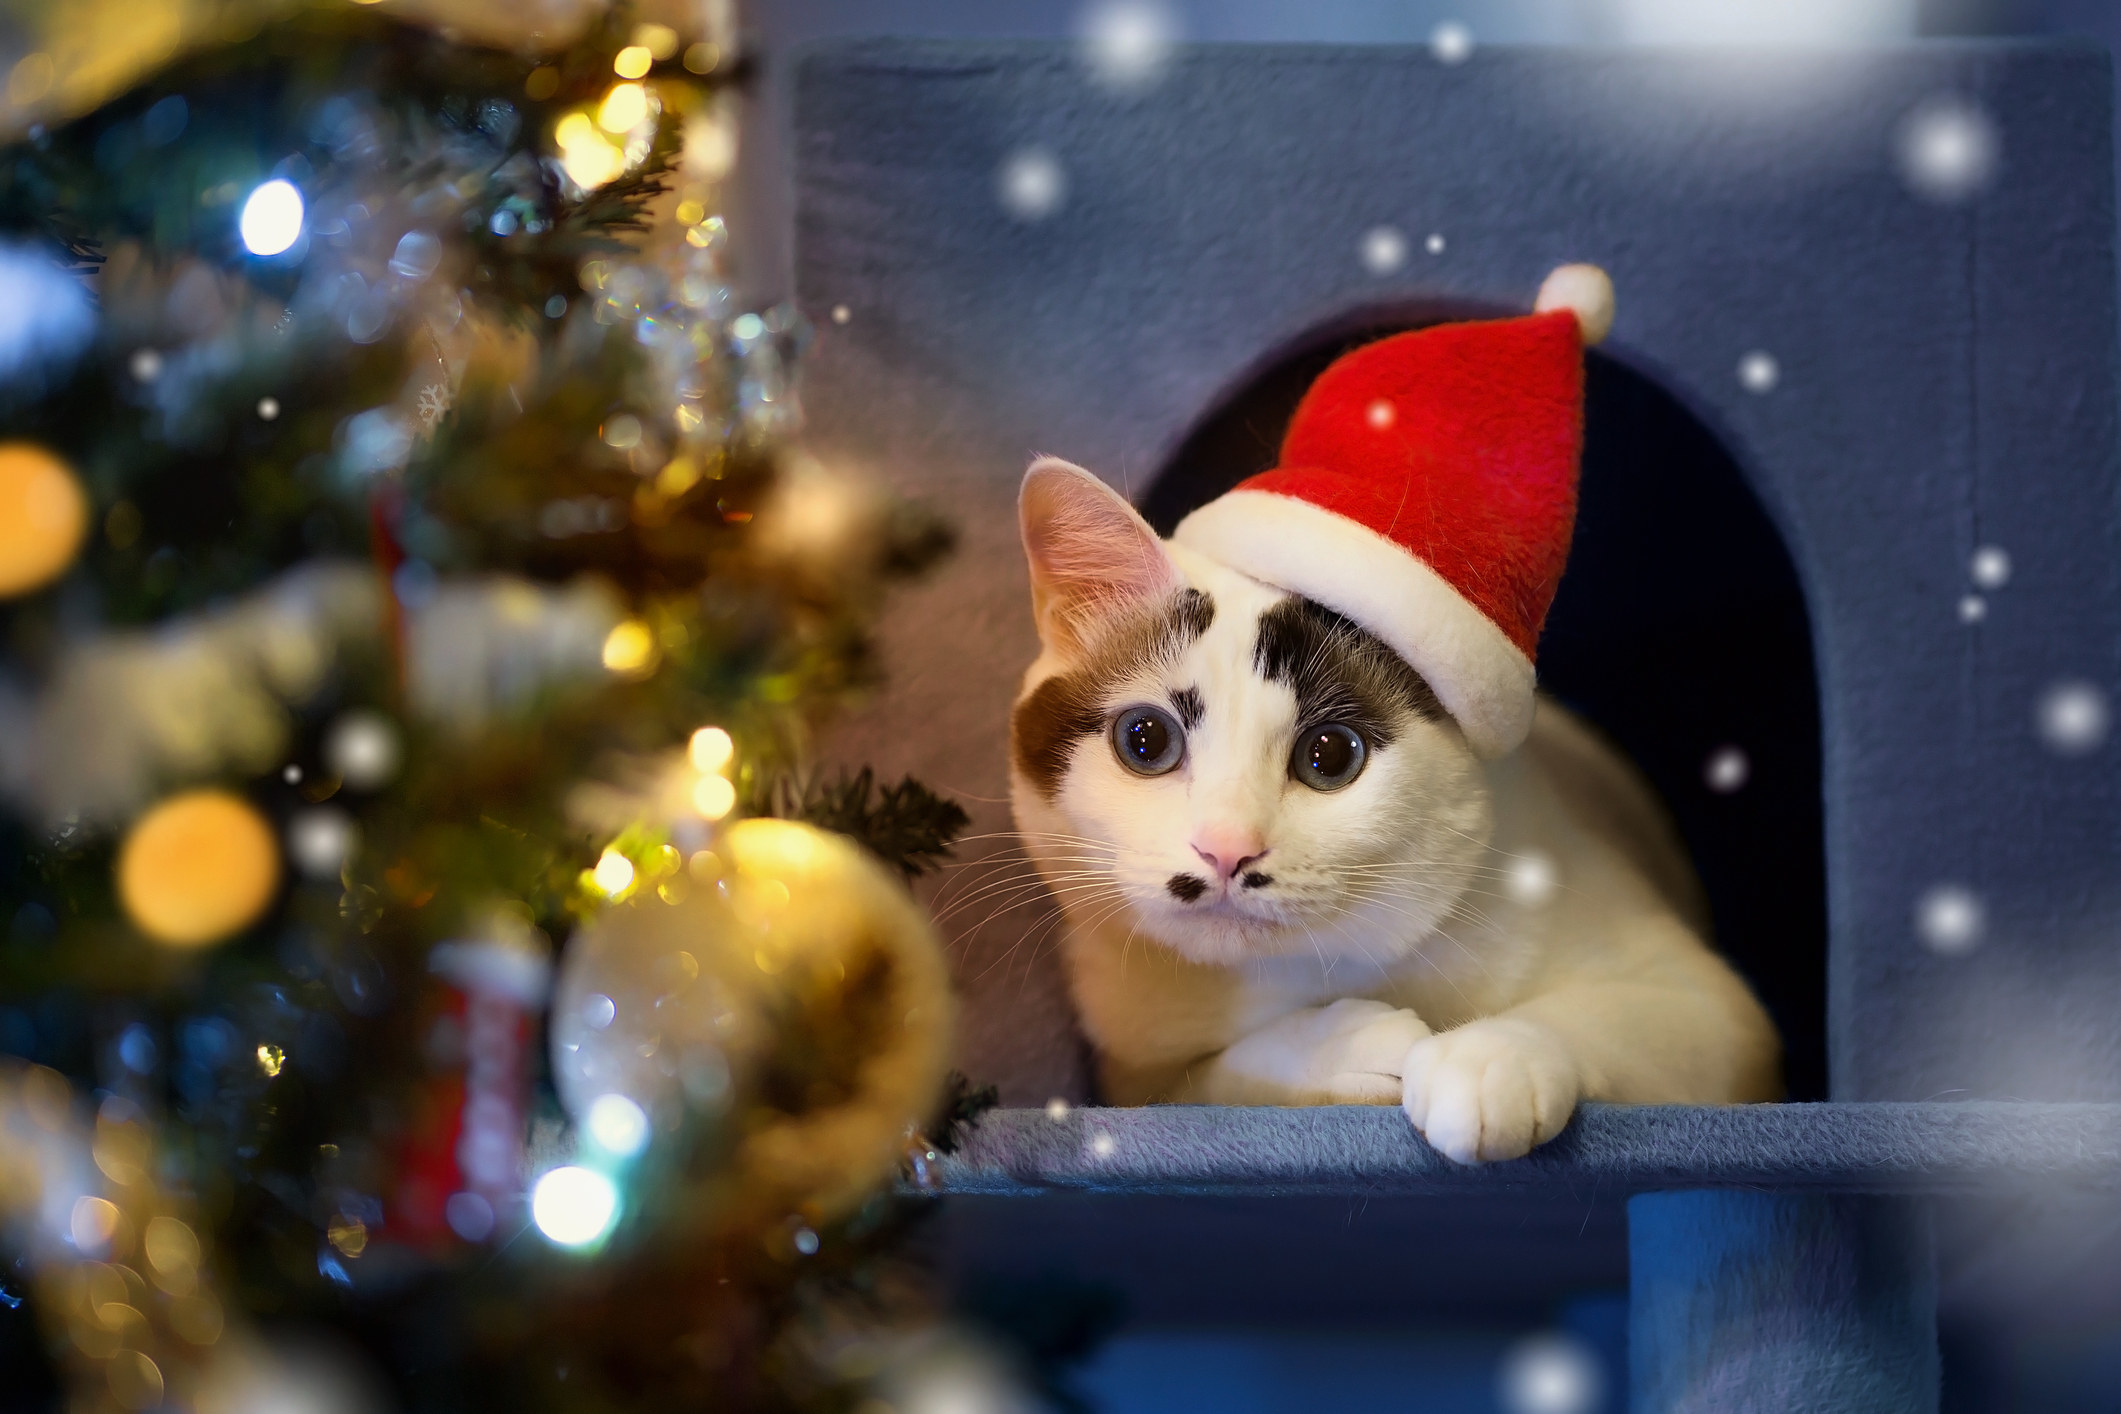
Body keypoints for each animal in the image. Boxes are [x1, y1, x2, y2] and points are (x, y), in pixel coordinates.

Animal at [1005, 464, 1773, 1161]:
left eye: (1330, 755)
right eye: (1145, 739)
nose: (1226, 849)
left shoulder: (1713, 1006)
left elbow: (1617, 1016)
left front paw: (1490, 1060)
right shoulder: (1131, 1075)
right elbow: (1209, 1084)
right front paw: (1343, 1046)